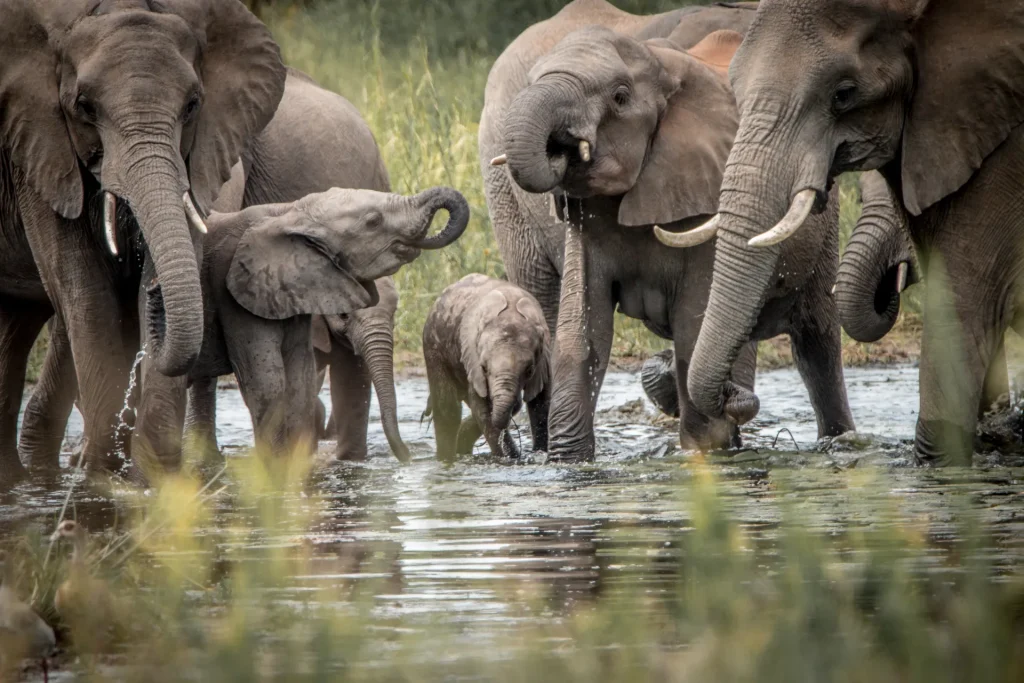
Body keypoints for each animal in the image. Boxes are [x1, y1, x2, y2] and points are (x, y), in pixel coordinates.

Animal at [0, 0, 286, 483]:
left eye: (192, 105)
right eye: (83, 106)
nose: (154, 295)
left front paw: (154, 476)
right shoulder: (36, 150)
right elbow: (86, 292)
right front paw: (103, 475)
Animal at [132, 186, 470, 473]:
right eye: (373, 221)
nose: (410, 459)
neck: (291, 212)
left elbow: (303, 380)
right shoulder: (236, 293)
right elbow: (269, 382)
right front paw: (273, 477)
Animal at [423, 274, 550, 462]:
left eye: (529, 370)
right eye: (483, 367)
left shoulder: (545, 358)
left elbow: (541, 403)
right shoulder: (472, 359)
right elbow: (482, 409)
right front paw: (508, 460)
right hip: (433, 345)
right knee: (447, 408)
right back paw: (447, 459)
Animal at [488, 19, 855, 457]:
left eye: (620, 97)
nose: (558, 147)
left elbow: (692, 325)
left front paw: (702, 456)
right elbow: (585, 336)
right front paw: (569, 461)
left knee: (817, 343)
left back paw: (838, 440)